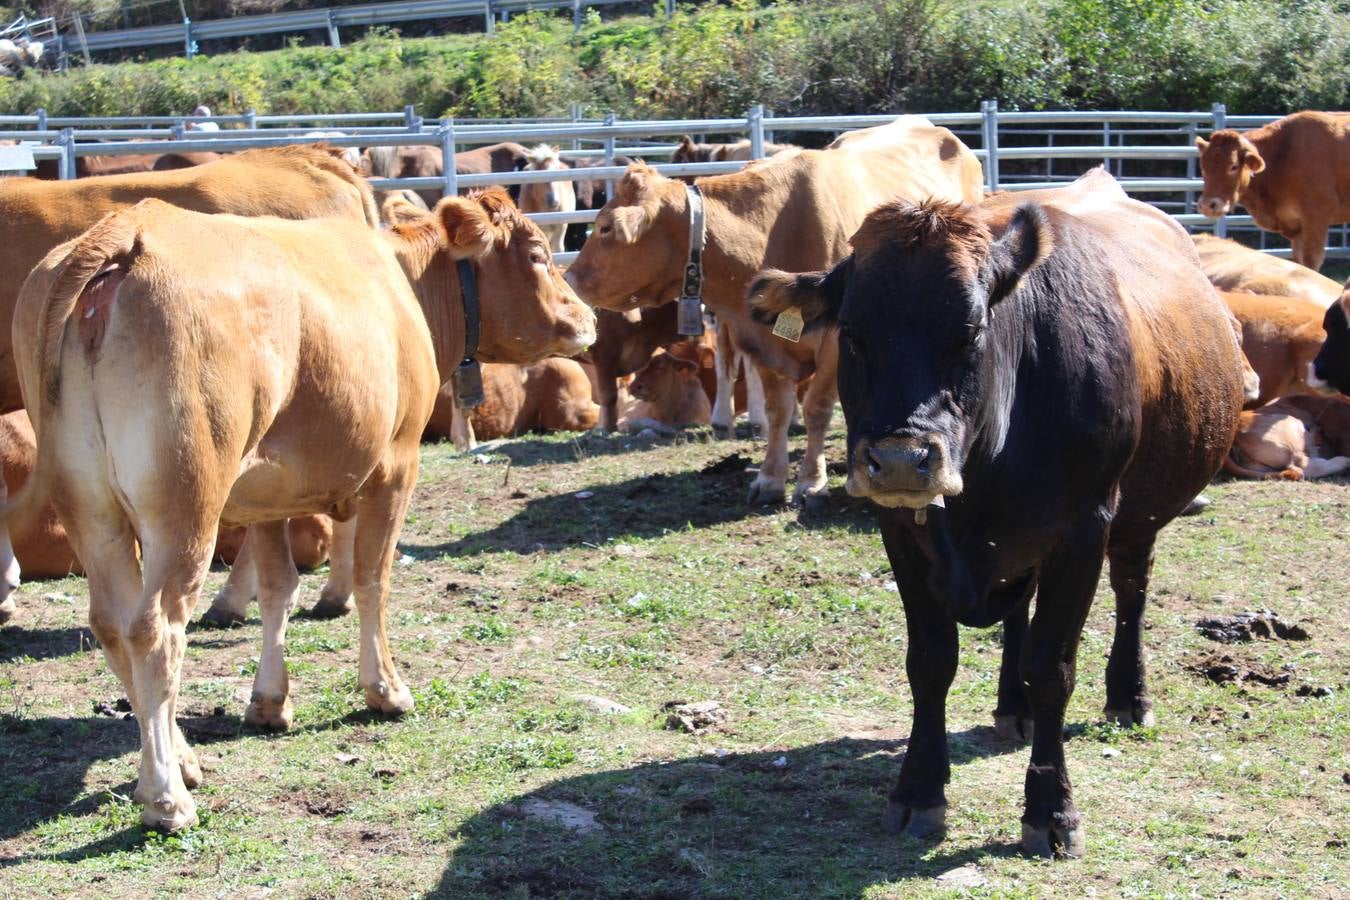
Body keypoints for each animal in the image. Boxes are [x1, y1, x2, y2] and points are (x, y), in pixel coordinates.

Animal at [5, 190, 594, 831]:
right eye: (537, 253)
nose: (587, 316)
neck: (404, 285)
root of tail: (127, 231)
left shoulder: (266, 494)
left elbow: (278, 588)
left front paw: (270, 701)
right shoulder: (397, 464)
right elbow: (371, 579)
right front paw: (385, 690)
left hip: (91, 506)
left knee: (112, 623)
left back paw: (182, 758)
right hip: (185, 505)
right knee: (155, 629)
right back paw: (167, 795)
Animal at [561, 116, 982, 507]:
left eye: (604, 228)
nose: (568, 277)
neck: (772, 232)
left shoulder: (833, 345)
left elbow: (815, 408)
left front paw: (811, 482)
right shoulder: (761, 340)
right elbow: (778, 410)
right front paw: (770, 479)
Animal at [1198, 111, 1350, 271]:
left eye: (1233, 166)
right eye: (1203, 166)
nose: (1208, 205)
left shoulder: (1317, 216)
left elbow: (1310, 261)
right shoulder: (1296, 228)